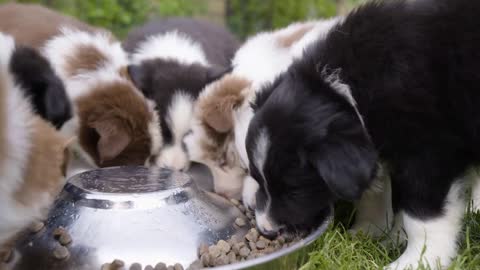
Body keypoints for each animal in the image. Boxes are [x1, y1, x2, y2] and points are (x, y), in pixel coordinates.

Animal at [246, 0, 480, 268]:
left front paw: (417, 259)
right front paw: (370, 233)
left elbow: (422, 215)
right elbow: (374, 190)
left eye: (293, 190)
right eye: (256, 178)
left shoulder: (427, 151)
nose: (266, 230)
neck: (343, 88)